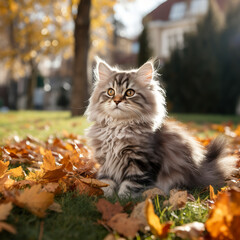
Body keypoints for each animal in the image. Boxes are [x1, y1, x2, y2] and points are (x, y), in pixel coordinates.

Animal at [85, 58, 237, 197]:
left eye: (129, 93)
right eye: (110, 92)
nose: (116, 101)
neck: (118, 127)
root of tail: (202, 170)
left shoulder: (141, 162)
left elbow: (130, 184)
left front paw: (122, 199)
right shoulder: (106, 162)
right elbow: (106, 181)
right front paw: (105, 196)